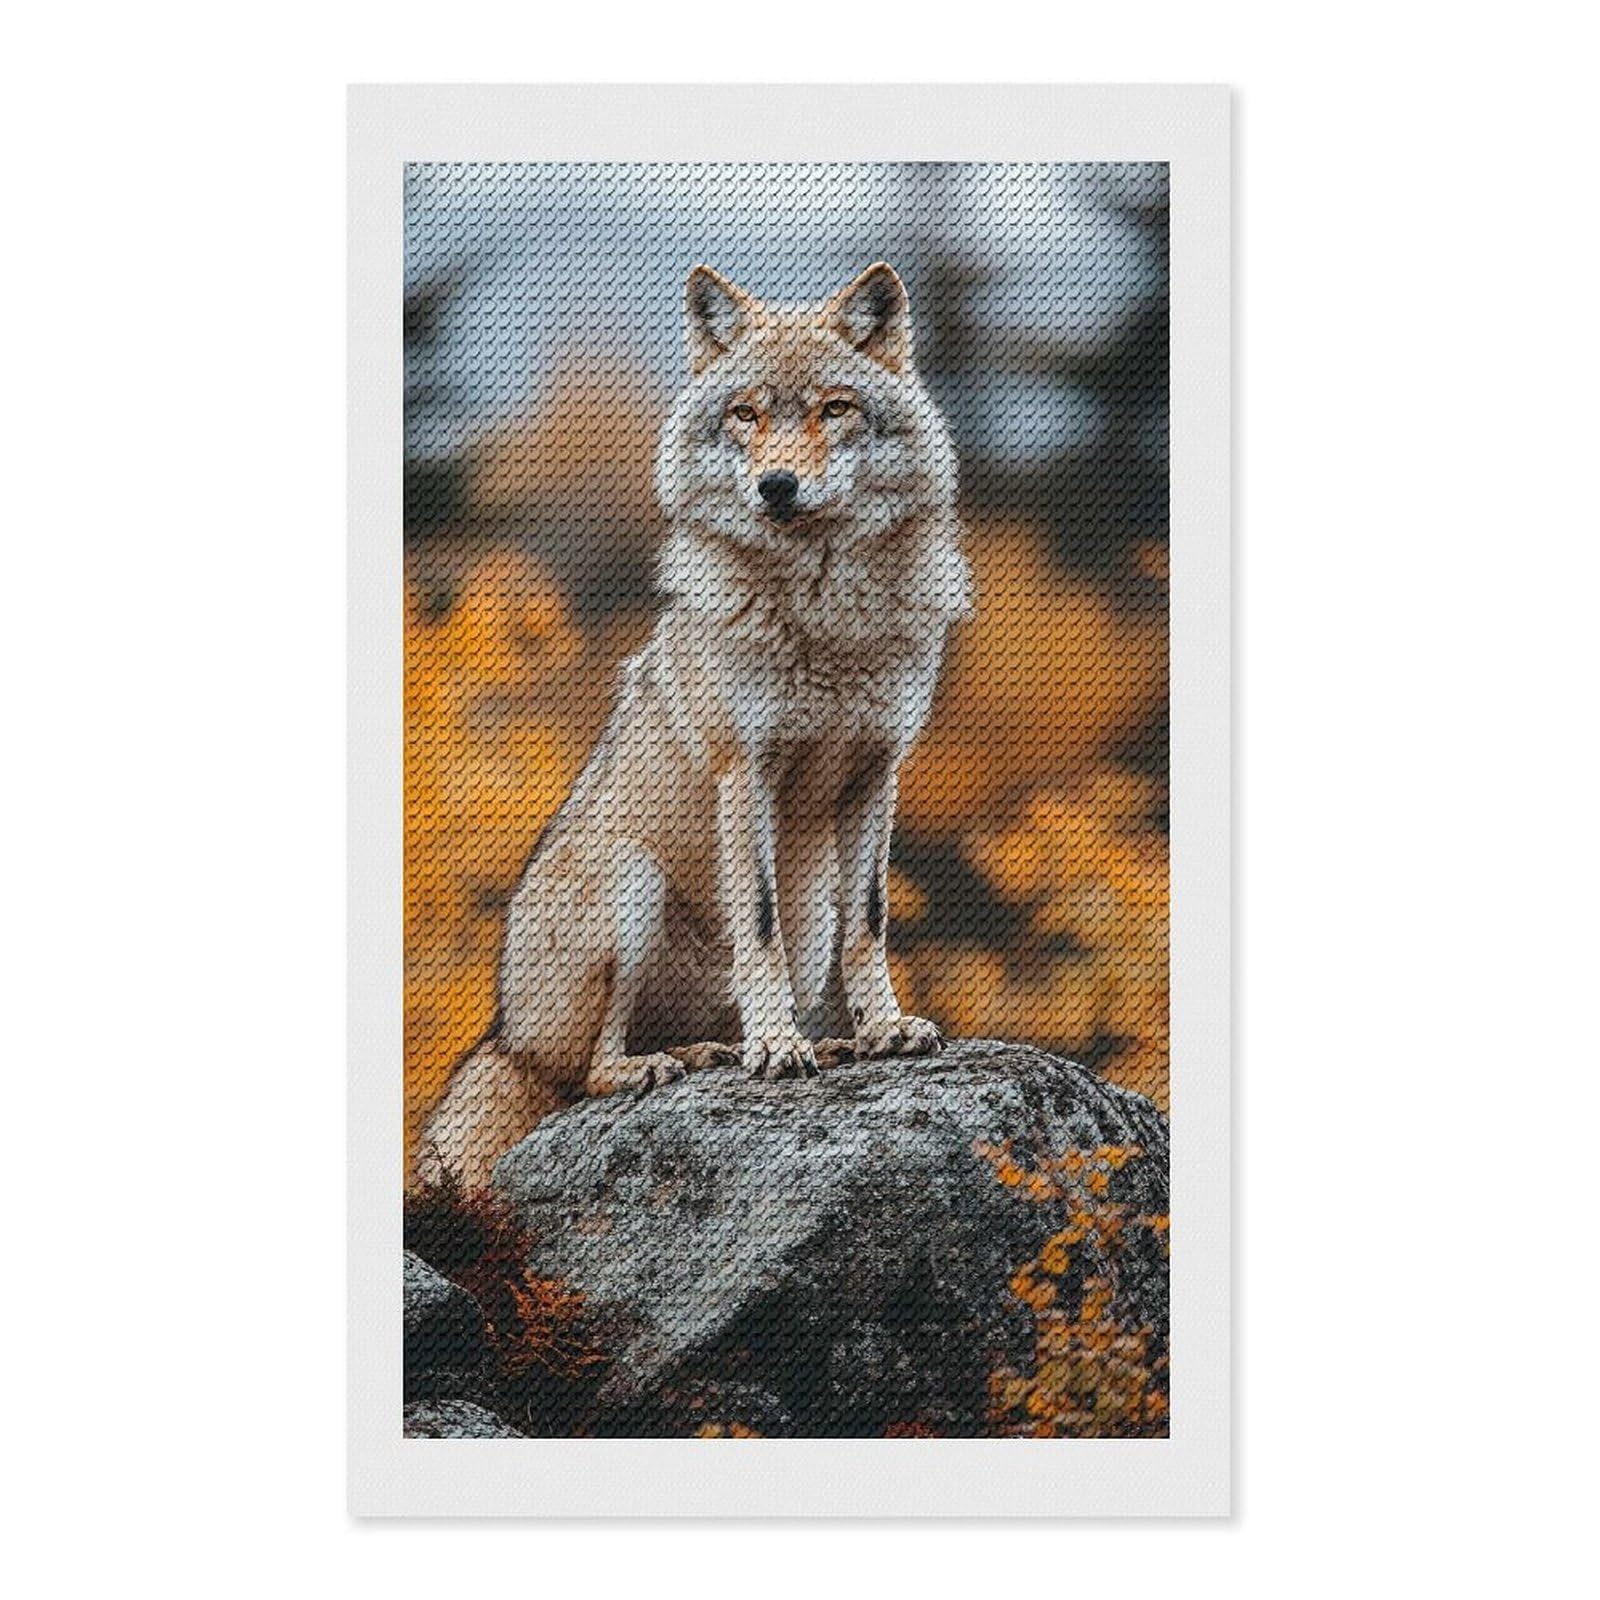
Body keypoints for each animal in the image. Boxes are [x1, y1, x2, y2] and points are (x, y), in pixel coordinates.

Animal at [419, 262, 972, 1187]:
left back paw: (736, 1049)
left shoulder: (875, 772)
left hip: (809, 911)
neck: (824, 606)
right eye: (746, 413)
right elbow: (759, 928)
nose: (776, 486)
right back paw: (663, 1064)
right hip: (629, 879)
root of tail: (502, 1032)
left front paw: (881, 1030)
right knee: (588, 1075)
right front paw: (780, 1047)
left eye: (834, 408)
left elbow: (872, 922)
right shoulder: (743, 772)